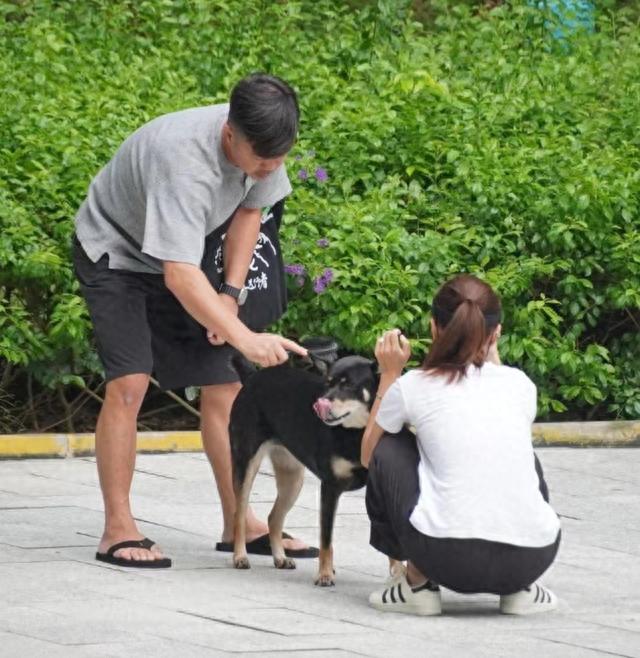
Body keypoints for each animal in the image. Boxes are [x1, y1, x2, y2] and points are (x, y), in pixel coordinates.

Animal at [231, 354, 376, 584]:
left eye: (349, 385)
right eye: (328, 383)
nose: (321, 405)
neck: (356, 432)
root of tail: (253, 377)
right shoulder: (330, 488)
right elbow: (326, 540)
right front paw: (325, 574)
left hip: (292, 479)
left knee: (274, 518)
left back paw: (280, 557)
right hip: (246, 465)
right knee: (240, 515)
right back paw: (240, 556)